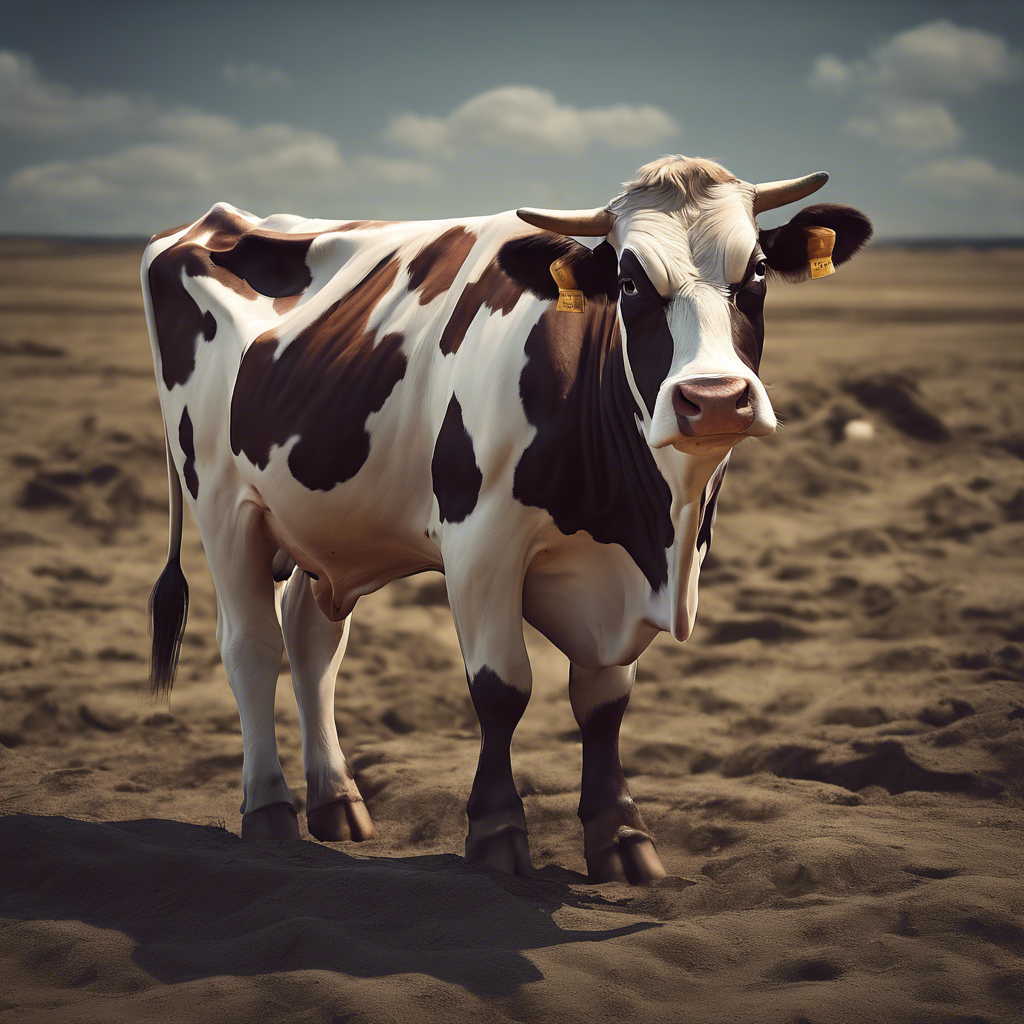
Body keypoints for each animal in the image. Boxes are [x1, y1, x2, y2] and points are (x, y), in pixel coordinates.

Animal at [141, 155, 871, 883]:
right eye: (629, 281)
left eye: (756, 271)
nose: (714, 399)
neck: (653, 529)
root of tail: (208, 223)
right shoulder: (480, 545)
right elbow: (501, 688)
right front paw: (497, 830)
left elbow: (605, 703)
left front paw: (621, 835)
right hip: (224, 503)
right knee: (251, 647)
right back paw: (268, 808)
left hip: (322, 522)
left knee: (312, 641)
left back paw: (337, 802)